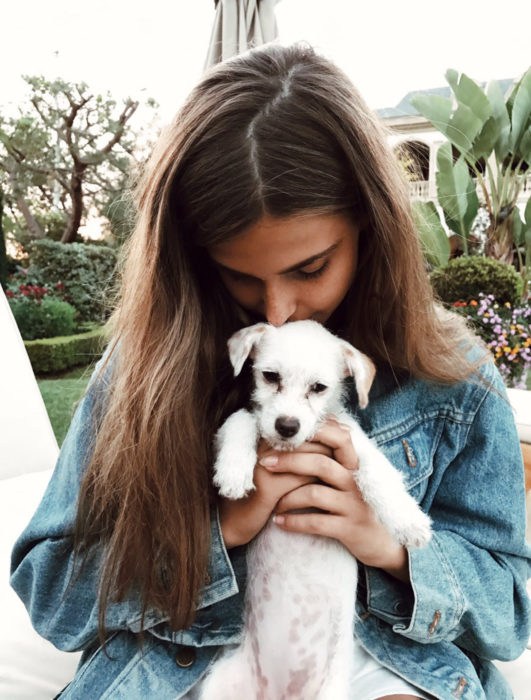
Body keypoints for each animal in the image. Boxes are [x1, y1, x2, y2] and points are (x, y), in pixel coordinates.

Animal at [198, 320, 432, 696]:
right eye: (270, 376)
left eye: (319, 388)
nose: (286, 426)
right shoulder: (238, 426)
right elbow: (241, 420)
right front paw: (234, 470)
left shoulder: (352, 441)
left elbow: (378, 472)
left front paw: (408, 521)